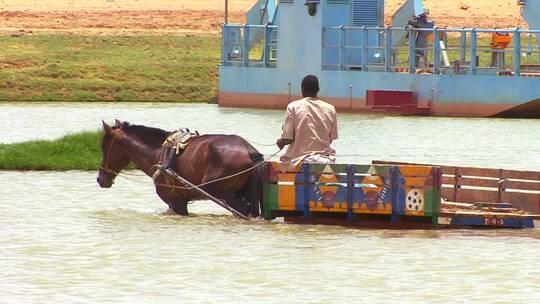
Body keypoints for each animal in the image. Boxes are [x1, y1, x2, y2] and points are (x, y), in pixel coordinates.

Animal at [97, 120, 266, 217]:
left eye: (104, 147)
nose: (100, 179)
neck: (159, 153)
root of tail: (249, 150)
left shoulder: (175, 201)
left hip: (221, 193)